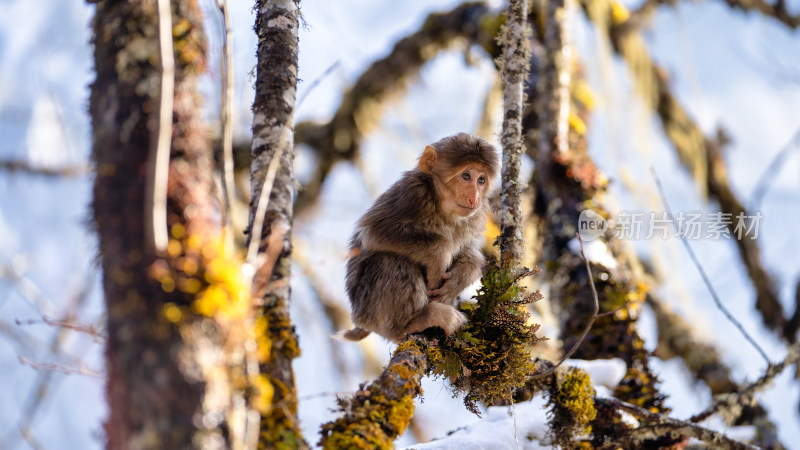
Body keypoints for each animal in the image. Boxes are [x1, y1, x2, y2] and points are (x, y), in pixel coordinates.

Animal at [340, 132, 500, 342]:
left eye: (481, 180)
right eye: (466, 176)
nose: (475, 198)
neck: (444, 211)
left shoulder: (476, 216)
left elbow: (470, 249)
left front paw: (460, 278)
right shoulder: (412, 194)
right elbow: (373, 233)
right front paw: (439, 255)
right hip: (369, 307)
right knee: (388, 260)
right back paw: (407, 324)